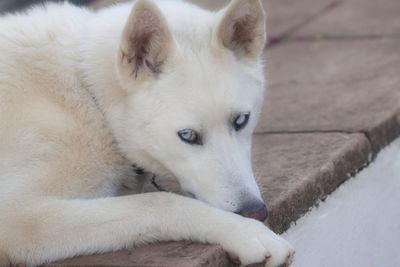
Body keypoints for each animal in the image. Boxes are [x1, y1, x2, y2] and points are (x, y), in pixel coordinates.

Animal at [0, 0, 294, 266]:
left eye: (241, 120)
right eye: (187, 136)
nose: (255, 212)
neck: (90, 96)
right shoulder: (19, 218)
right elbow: (159, 202)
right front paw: (245, 233)